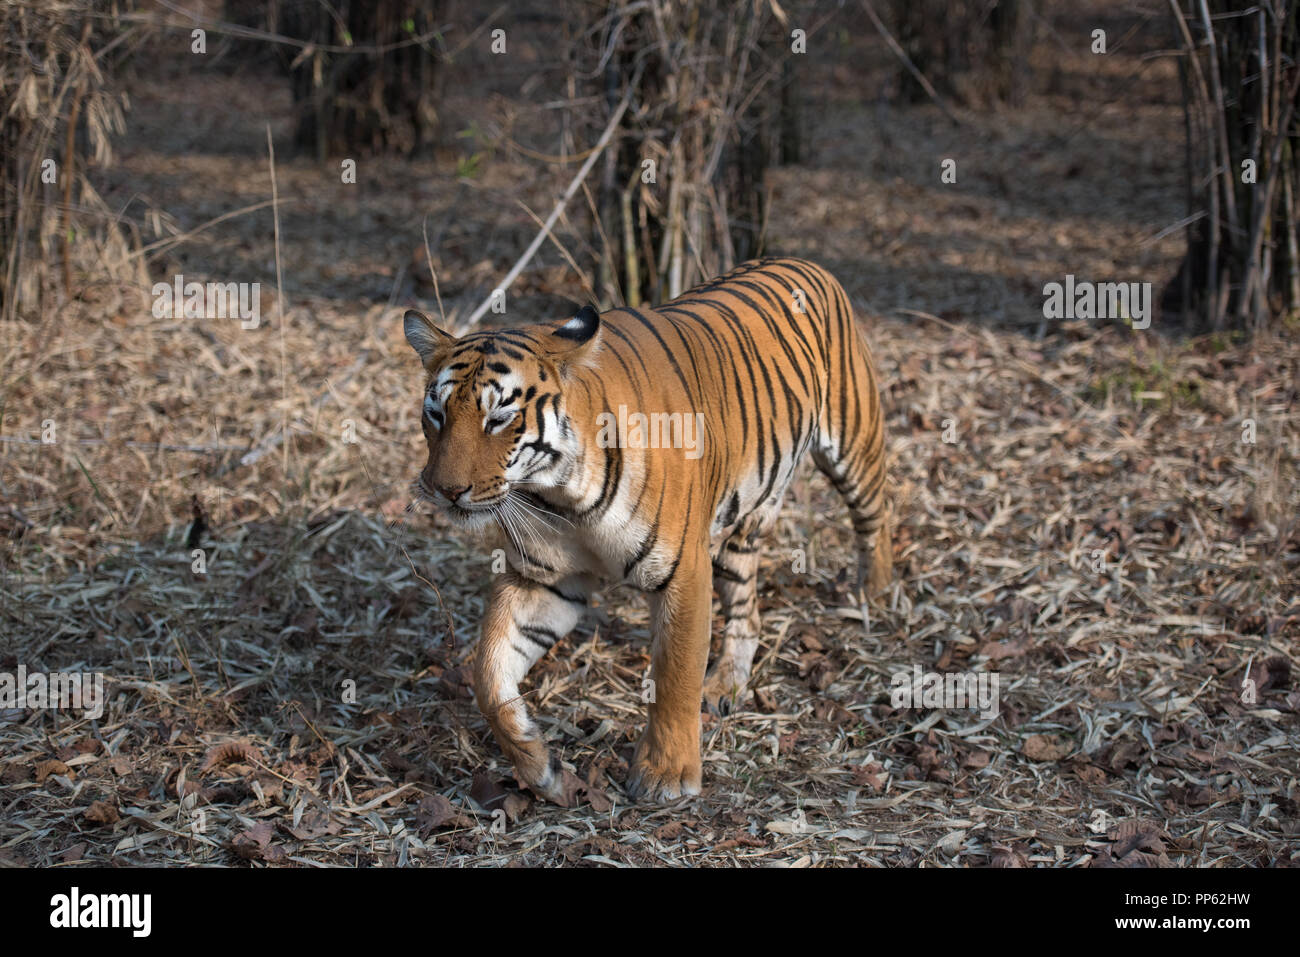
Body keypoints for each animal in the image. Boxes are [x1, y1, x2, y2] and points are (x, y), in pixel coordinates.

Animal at [403, 257, 894, 806]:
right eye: (435, 414)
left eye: (499, 418)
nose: (444, 490)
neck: (562, 491)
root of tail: (803, 261)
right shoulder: (545, 579)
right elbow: (488, 674)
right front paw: (540, 769)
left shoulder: (683, 571)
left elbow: (675, 677)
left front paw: (667, 776)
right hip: (744, 524)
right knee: (746, 604)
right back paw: (725, 685)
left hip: (853, 441)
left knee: (877, 514)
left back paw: (872, 594)